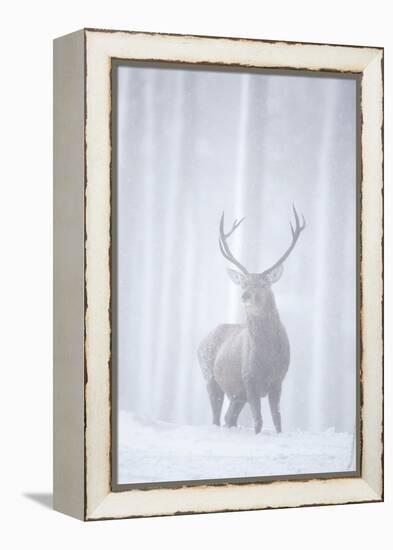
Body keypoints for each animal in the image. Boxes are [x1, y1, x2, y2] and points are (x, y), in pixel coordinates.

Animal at [198, 207, 304, 436]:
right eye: (243, 283)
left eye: (263, 283)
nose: (245, 296)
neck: (268, 357)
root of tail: (201, 341)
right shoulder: (250, 379)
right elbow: (258, 422)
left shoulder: (277, 381)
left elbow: (278, 421)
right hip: (210, 377)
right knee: (217, 417)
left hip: (237, 394)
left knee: (229, 418)